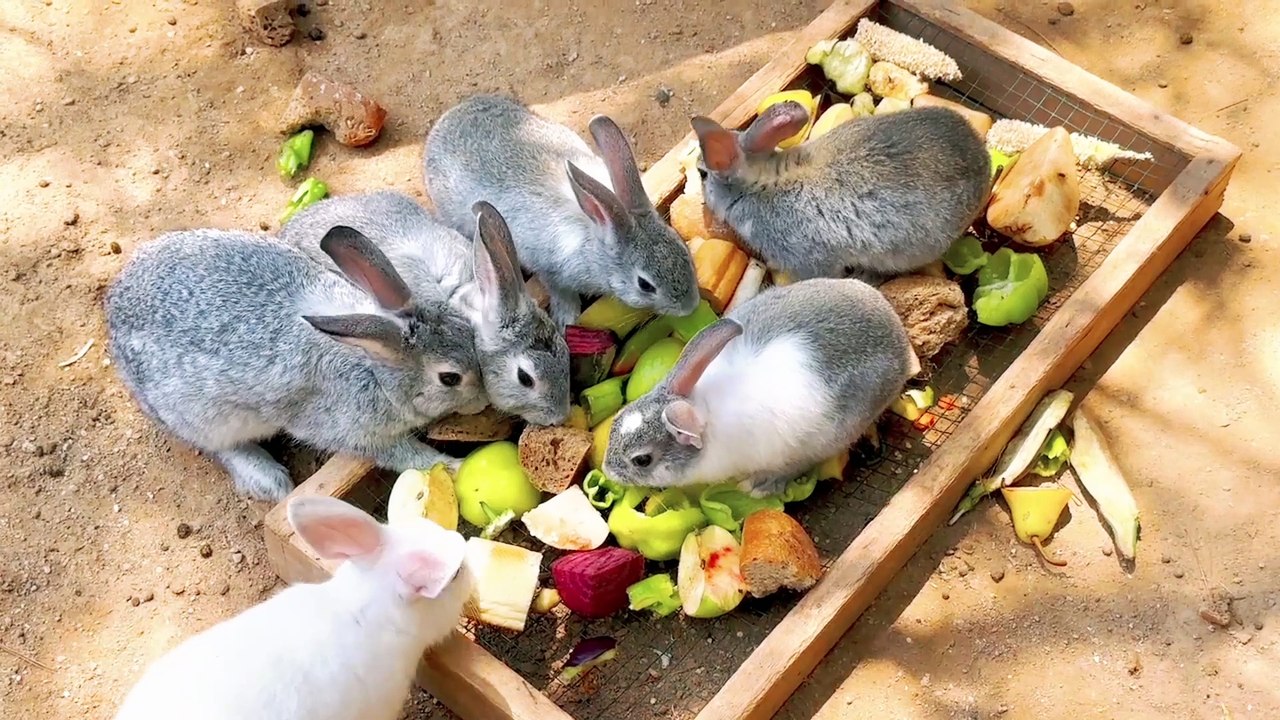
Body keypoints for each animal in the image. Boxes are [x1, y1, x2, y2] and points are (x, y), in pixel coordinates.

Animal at [104, 225, 487, 504]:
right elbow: (403, 455)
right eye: (450, 378)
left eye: (467, 331)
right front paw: (452, 465)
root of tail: (113, 312)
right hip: (203, 417)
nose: (484, 400)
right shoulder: (353, 433)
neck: (375, 368)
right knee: (221, 448)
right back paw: (268, 480)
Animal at [423, 93, 700, 328]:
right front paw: (566, 318)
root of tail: (442, 124)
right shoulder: (551, 270)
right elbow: (560, 292)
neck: (596, 235)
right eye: (645, 285)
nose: (690, 306)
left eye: (683, 249)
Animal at [603, 278, 915, 498]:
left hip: (824, 438)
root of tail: (898, 338)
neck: (703, 409)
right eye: (616, 420)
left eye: (642, 460)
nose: (607, 470)